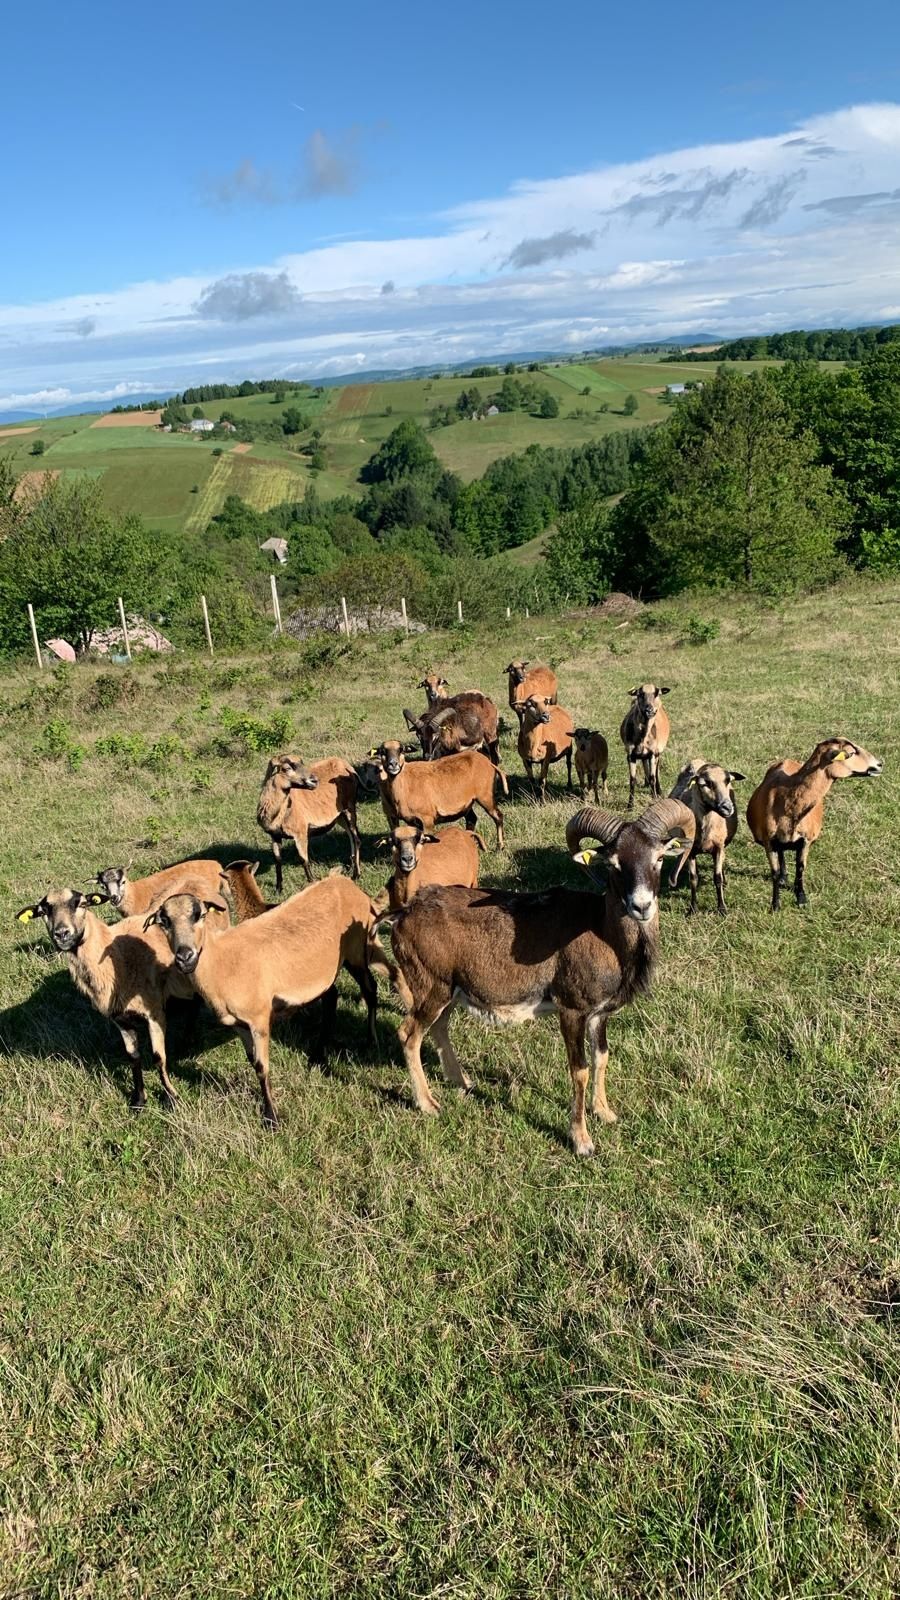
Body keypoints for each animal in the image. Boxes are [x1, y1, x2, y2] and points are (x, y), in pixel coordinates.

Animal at [254, 755, 358, 896]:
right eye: (286, 768)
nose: (314, 781)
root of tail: (345, 764)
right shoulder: (274, 836)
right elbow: (277, 861)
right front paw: (278, 890)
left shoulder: (301, 833)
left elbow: (304, 860)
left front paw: (312, 883)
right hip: (339, 816)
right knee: (350, 837)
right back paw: (351, 867)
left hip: (349, 807)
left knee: (356, 838)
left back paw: (356, 874)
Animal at [369, 742, 506, 851]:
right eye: (382, 751)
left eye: (401, 749)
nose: (393, 764)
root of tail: (489, 763)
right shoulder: (394, 818)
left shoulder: (427, 819)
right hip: (467, 804)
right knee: (472, 819)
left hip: (485, 796)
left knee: (498, 816)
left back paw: (500, 847)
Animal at [743, 739, 877, 915]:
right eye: (852, 753)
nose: (879, 764)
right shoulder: (768, 841)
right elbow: (774, 872)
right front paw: (776, 905)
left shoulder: (806, 840)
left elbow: (800, 867)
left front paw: (801, 899)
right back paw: (783, 879)